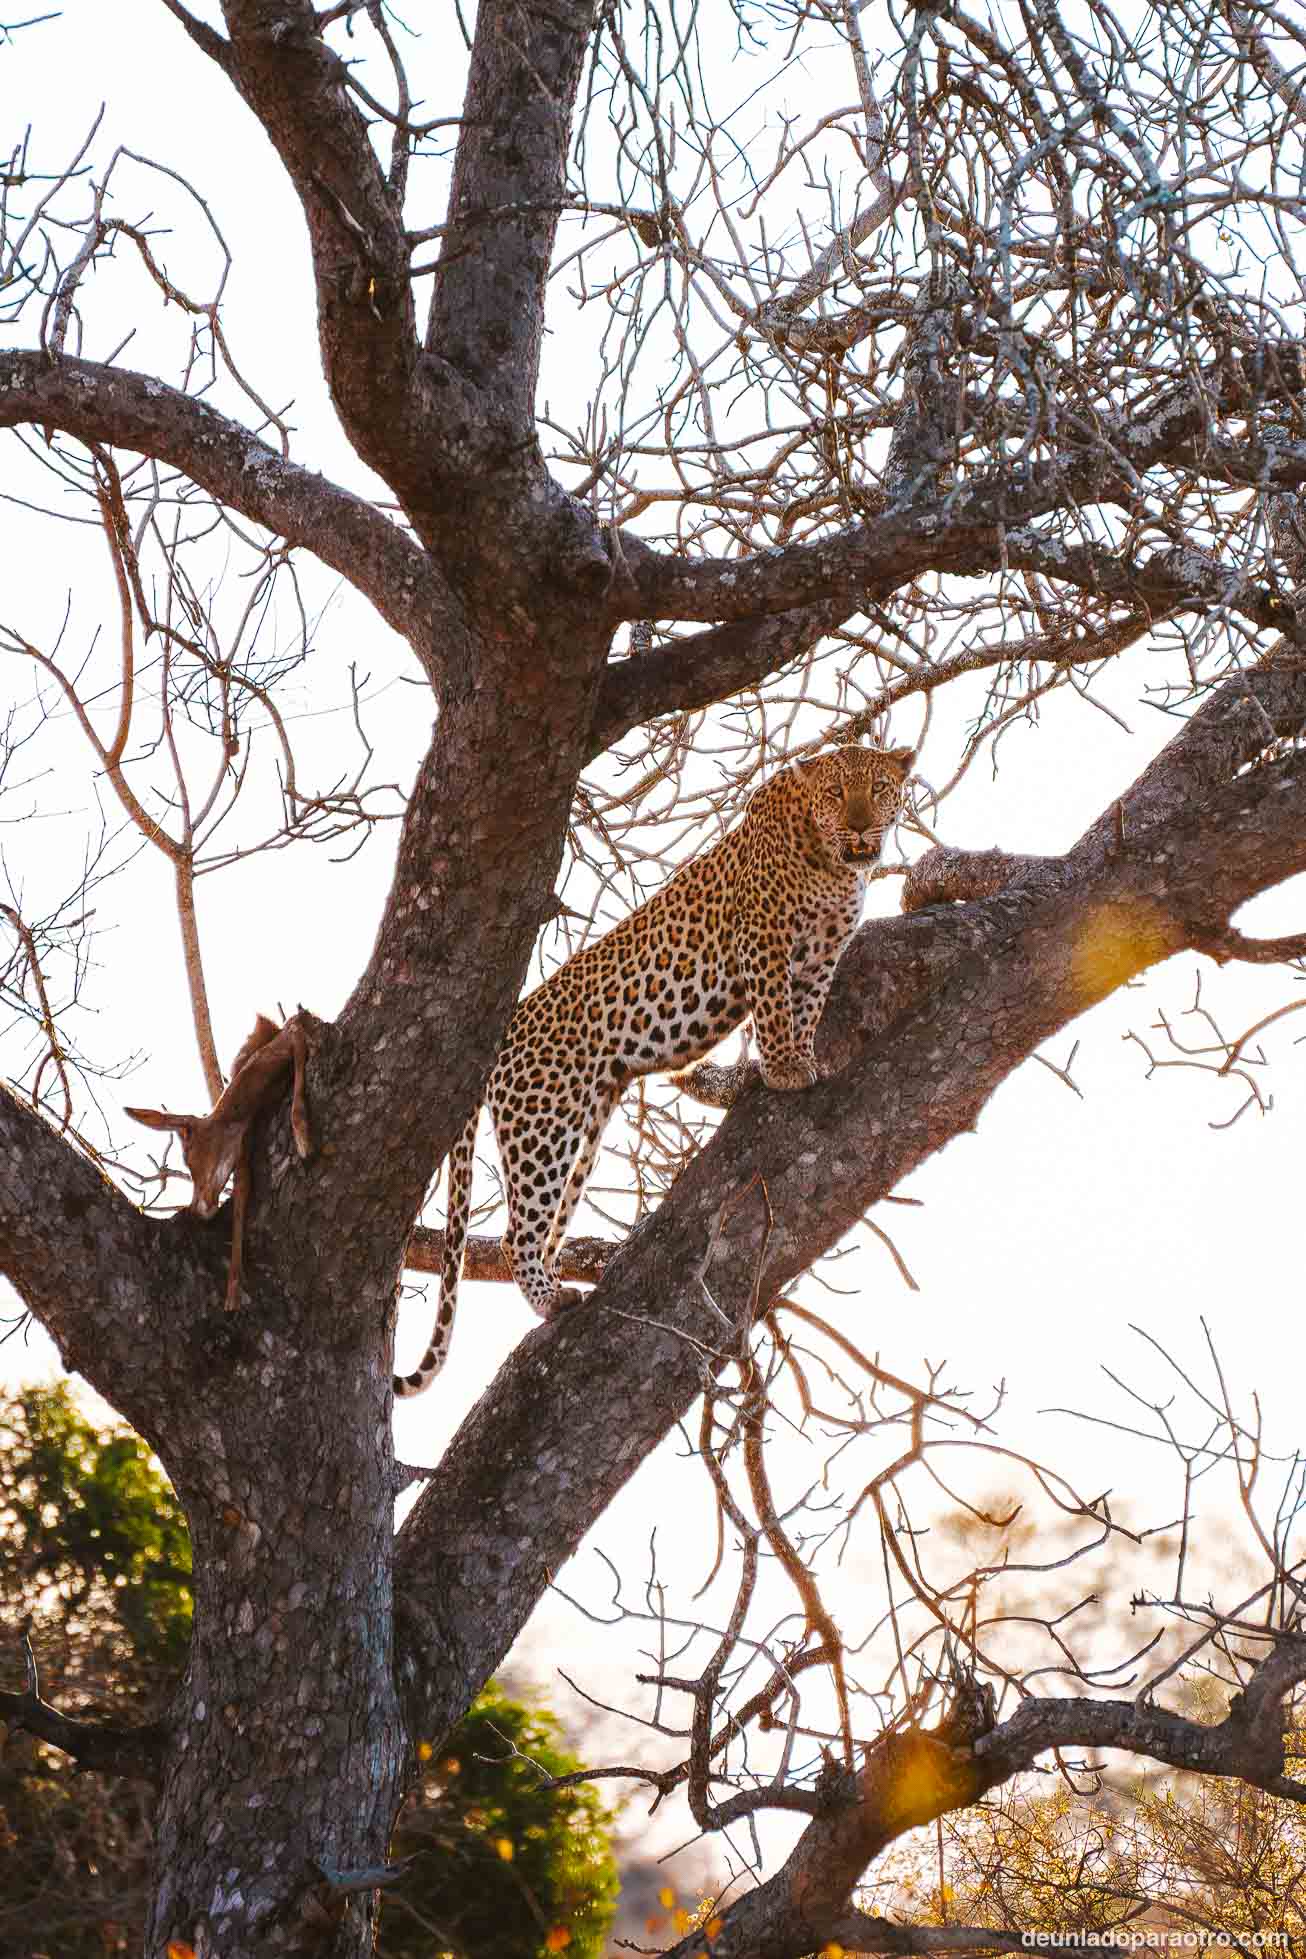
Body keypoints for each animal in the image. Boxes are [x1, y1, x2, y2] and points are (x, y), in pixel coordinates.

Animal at [393, 740, 916, 1402]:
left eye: (878, 789)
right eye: (836, 793)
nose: (860, 826)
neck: (833, 864)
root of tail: (502, 1030)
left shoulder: (823, 952)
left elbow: (807, 1008)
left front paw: (802, 1055)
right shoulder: (765, 940)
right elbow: (775, 1007)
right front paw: (783, 1069)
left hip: (587, 1122)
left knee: (548, 1222)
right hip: (544, 1121)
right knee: (518, 1234)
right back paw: (552, 1299)